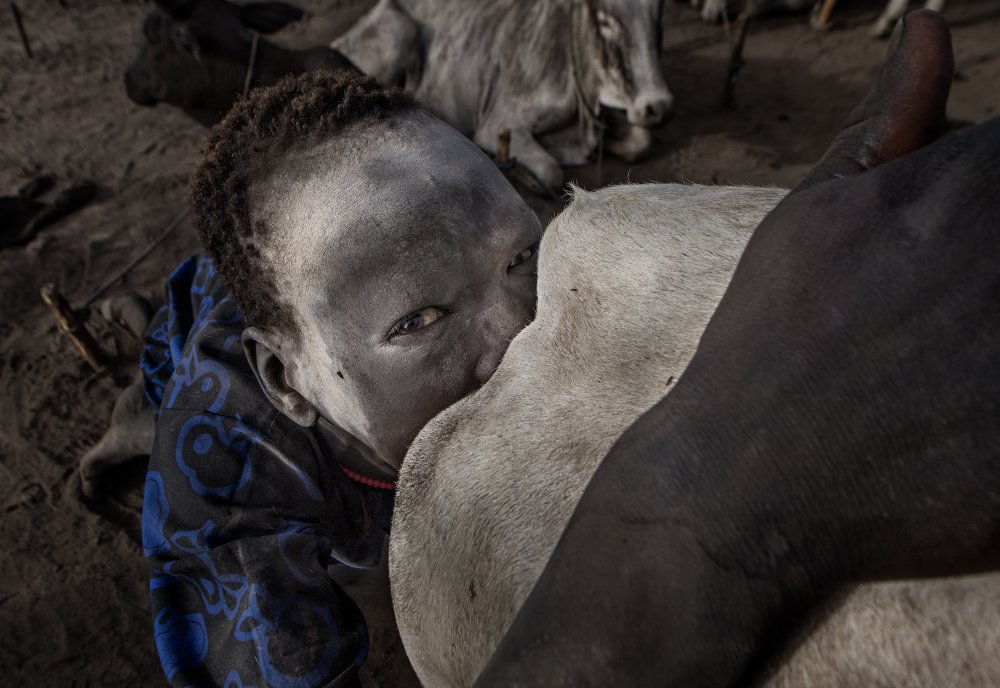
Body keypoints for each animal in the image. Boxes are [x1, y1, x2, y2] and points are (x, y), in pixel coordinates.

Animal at [334, 0, 672, 194]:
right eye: (605, 19)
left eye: (658, 16)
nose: (659, 107)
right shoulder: (502, 121)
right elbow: (551, 171)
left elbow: (640, 141)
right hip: (398, 34)